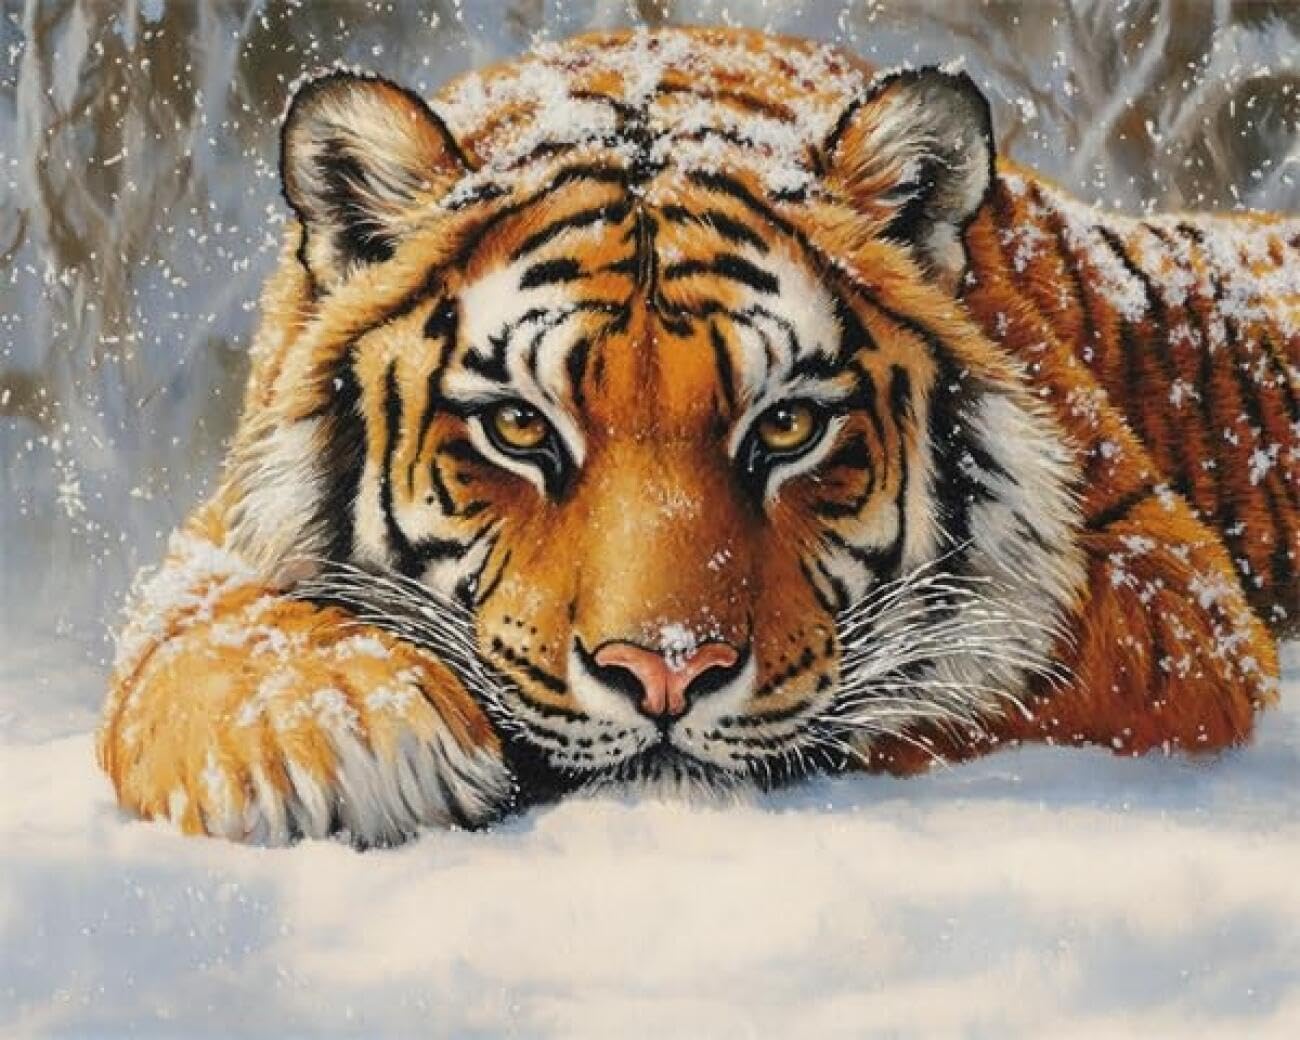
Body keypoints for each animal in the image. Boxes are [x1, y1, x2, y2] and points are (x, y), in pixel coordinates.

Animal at [97, 27, 1299, 846]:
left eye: (790, 425)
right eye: (520, 427)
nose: (667, 675)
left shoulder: (1165, 578)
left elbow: (979, 656)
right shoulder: (210, 548)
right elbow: (206, 636)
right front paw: (350, 733)